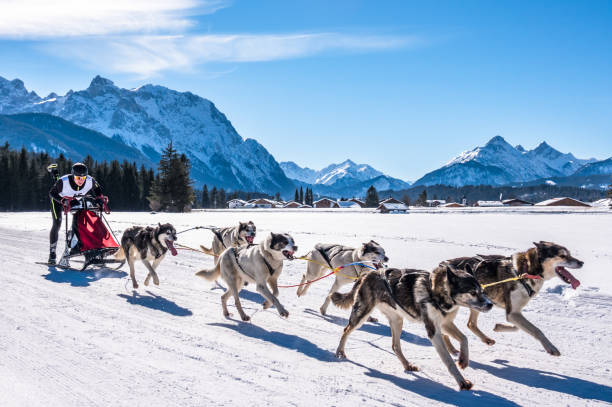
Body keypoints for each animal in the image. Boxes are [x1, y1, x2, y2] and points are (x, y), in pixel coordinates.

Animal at [332, 266, 494, 390]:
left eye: (482, 291)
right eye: (473, 292)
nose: (490, 304)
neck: (435, 293)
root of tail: (368, 274)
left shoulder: (445, 324)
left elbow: (464, 339)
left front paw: (463, 360)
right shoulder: (434, 331)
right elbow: (448, 360)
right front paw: (462, 382)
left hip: (397, 320)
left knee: (395, 346)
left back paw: (407, 365)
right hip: (362, 314)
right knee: (346, 330)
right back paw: (340, 351)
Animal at [442, 241, 580, 358]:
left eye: (569, 254)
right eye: (562, 255)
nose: (581, 263)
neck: (523, 272)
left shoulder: (514, 313)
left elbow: (518, 327)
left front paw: (499, 327)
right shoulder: (513, 313)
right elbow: (536, 330)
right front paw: (550, 347)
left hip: (477, 303)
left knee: (470, 324)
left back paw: (483, 340)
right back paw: (451, 349)